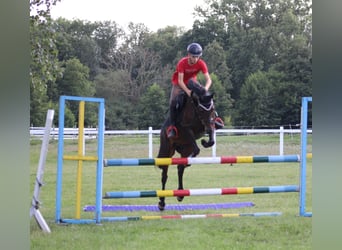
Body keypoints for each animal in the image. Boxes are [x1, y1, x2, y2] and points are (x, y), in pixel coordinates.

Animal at [157, 81, 219, 210]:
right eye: (201, 110)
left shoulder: (209, 125)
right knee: (164, 174)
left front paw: (205, 142)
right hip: (168, 150)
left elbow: (211, 138)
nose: (209, 121)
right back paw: (161, 202)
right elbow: (197, 147)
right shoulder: (186, 129)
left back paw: (180, 193)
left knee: (180, 169)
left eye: (212, 109)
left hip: (185, 148)